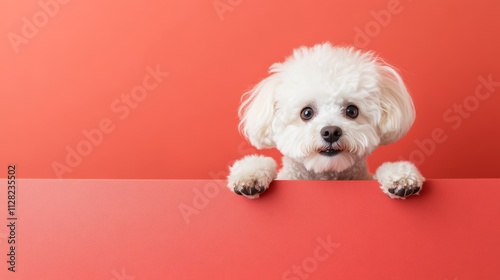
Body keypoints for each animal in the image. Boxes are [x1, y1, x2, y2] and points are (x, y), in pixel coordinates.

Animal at [229, 42, 424, 199]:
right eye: (306, 112)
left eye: (352, 111)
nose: (331, 132)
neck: (326, 176)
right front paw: (248, 174)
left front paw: (400, 176)